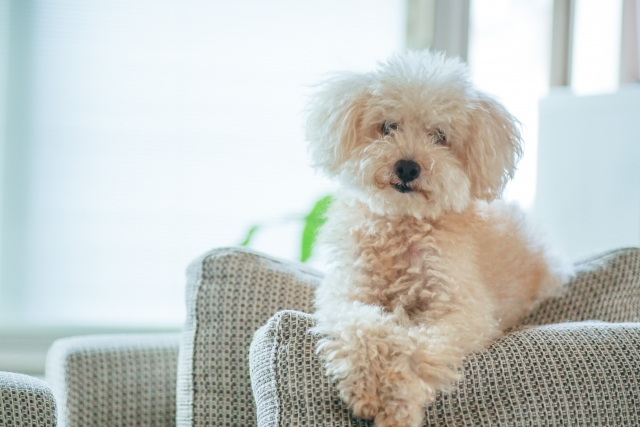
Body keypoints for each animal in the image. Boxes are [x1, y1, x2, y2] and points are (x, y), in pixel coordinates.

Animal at [308, 51, 568, 427]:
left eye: (439, 135)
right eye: (388, 127)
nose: (407, 167)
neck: (403, 225)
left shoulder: (462, 312)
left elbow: (418, 349)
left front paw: (397, 400)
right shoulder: (348, 296)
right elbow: (363, 329)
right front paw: (366, 388)